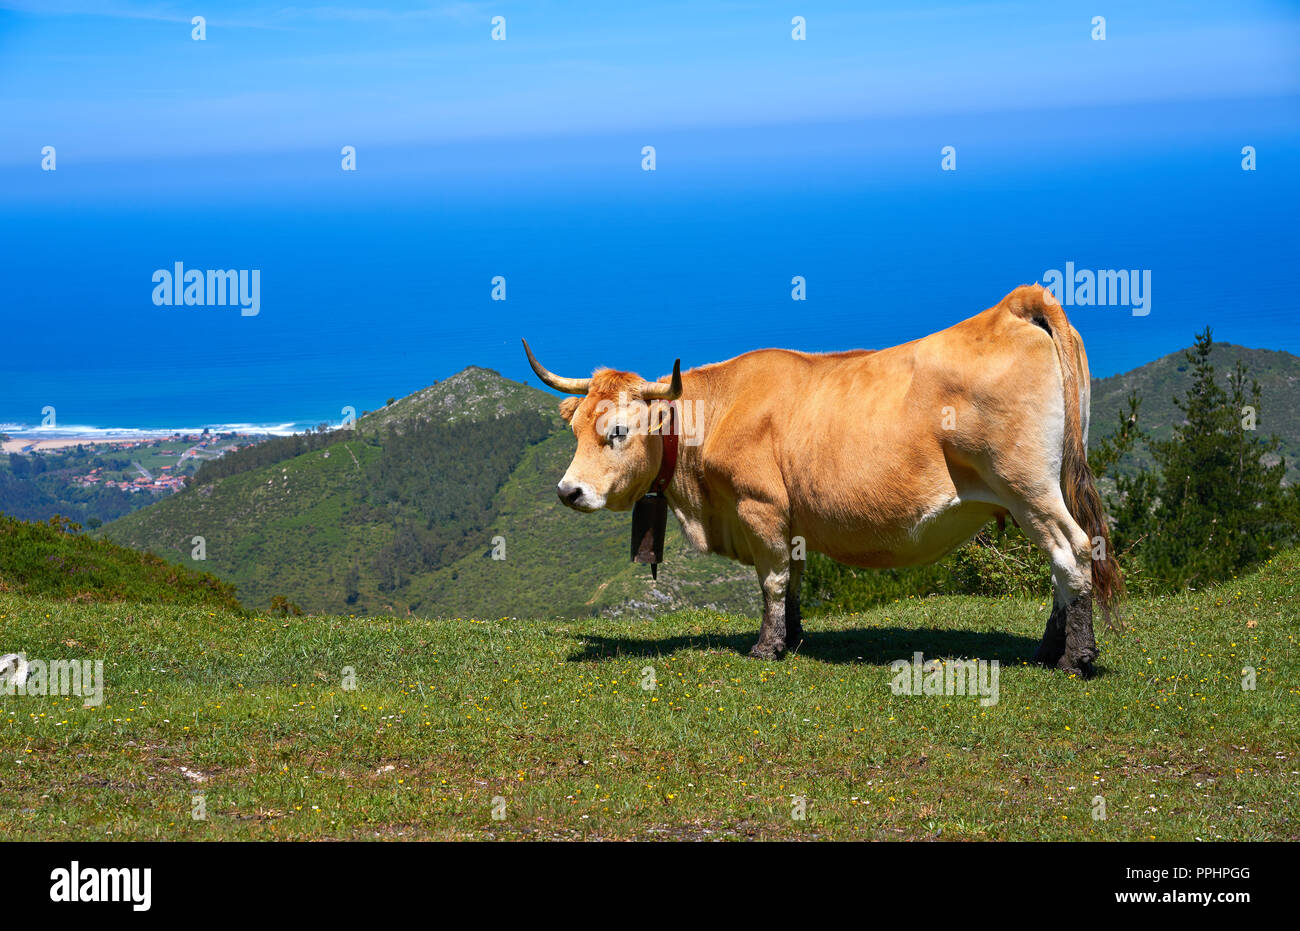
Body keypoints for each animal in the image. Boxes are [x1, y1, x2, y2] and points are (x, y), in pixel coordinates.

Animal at [523, 284, 1122, 676]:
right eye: (574, 428)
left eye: (618, 431)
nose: (568, 492)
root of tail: (1012, 308)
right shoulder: (791, 519)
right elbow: (793, 580)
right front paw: (792, 638)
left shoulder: (759, 506)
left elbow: (771, 581)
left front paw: (766, 649)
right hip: (1043, 490)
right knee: (1061, 563)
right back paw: (1048, 650)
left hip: (1030, 489)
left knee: (1072, 552)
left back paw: (1075, 658)